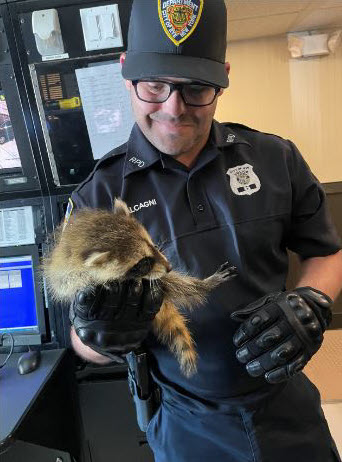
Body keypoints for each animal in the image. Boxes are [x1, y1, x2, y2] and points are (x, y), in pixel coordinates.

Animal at [44, 198, 238, 376]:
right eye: (144, 262)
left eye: (153, 245)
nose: (169, 267)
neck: (88, 237)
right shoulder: (68, 274)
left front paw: (203, 283)